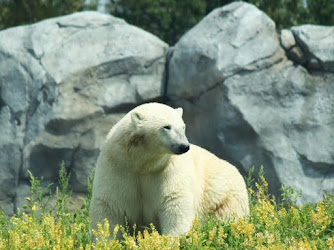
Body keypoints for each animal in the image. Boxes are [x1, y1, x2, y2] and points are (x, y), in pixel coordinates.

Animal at [90, 102, 249, 239]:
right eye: (166, 127)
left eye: (183, 126)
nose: (183, 146)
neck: (141, 163)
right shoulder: (118, 167)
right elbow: (109, 207)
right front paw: (104, 240)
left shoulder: (167, 171)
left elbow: (174, 204)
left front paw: (171, 239)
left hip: (223, 197)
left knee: (226, 216)